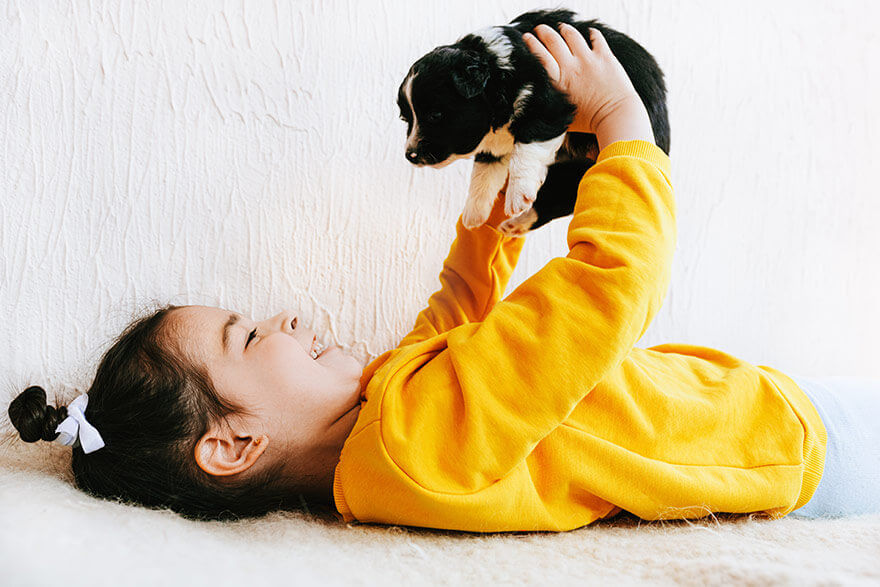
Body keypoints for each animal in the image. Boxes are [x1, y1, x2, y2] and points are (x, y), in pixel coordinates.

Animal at [396, 8, 672, 235]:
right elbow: (484, 171)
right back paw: (513, 225)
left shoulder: (549, 106)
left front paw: (518, 195)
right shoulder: (494, 140)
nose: (410, 155)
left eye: (435, 115)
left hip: (580, 166)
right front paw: (474, 214)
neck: (496, 66)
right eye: (404, 118)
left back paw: (517, 221)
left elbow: (527, 146)